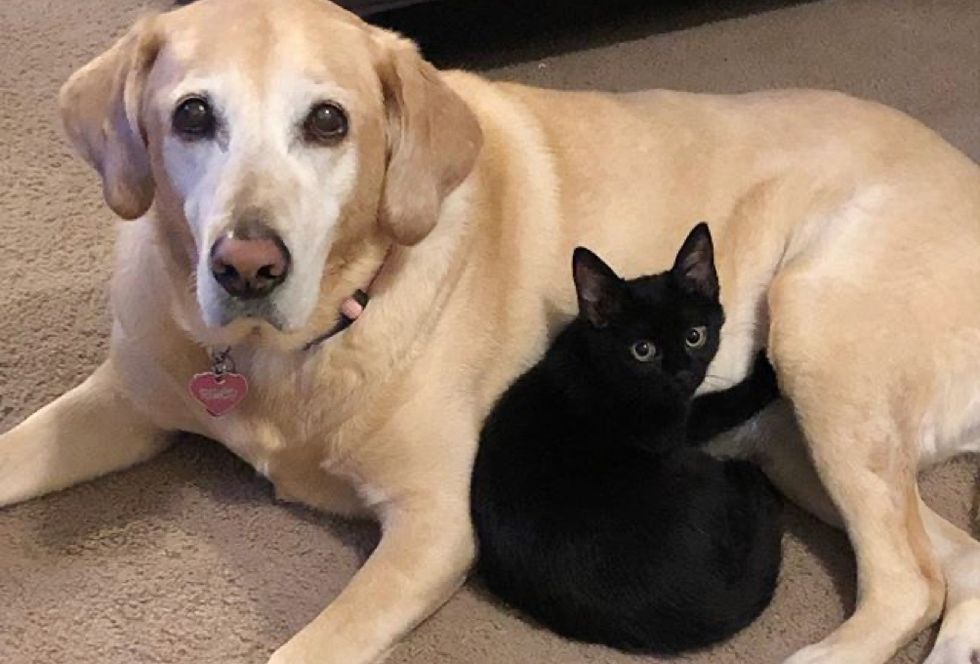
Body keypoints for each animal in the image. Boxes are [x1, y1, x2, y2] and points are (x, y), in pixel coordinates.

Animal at [468, 223, 780, 652]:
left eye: (694, 336)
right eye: (642, 350)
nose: (681, 373)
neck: (598, 361)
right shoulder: (672, 425)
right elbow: (720, 405)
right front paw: (768, 372)